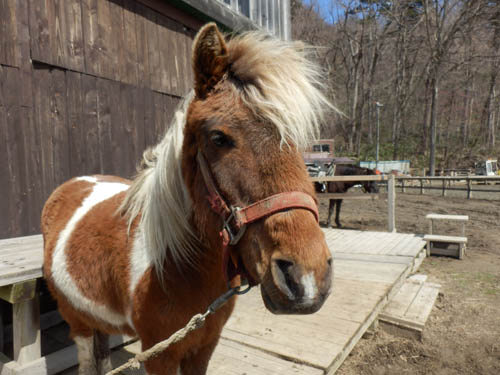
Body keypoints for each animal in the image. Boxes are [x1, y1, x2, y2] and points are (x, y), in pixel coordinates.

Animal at [41, 23, 334, 375]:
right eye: (218, 138)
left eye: (297, 141)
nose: (307, 278)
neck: (175, 263)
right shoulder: (158, 354)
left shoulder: (204, 345)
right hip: (78, 321)